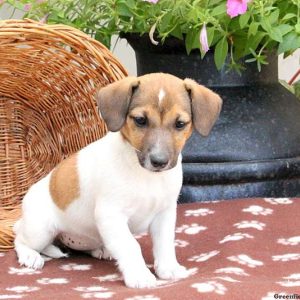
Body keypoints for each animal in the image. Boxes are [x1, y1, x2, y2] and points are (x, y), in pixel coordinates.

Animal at [12, 72, 221, 288]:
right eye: (140, 120)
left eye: (180, 124)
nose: (159, 161)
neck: (145, 175)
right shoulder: (111, 215)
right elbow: (131, 245)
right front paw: (140, 275)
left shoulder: (164, 214)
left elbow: (164, 244)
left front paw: (168, 268)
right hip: (40, 229)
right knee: (19, 239)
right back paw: (30, 256)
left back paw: (102, 250)